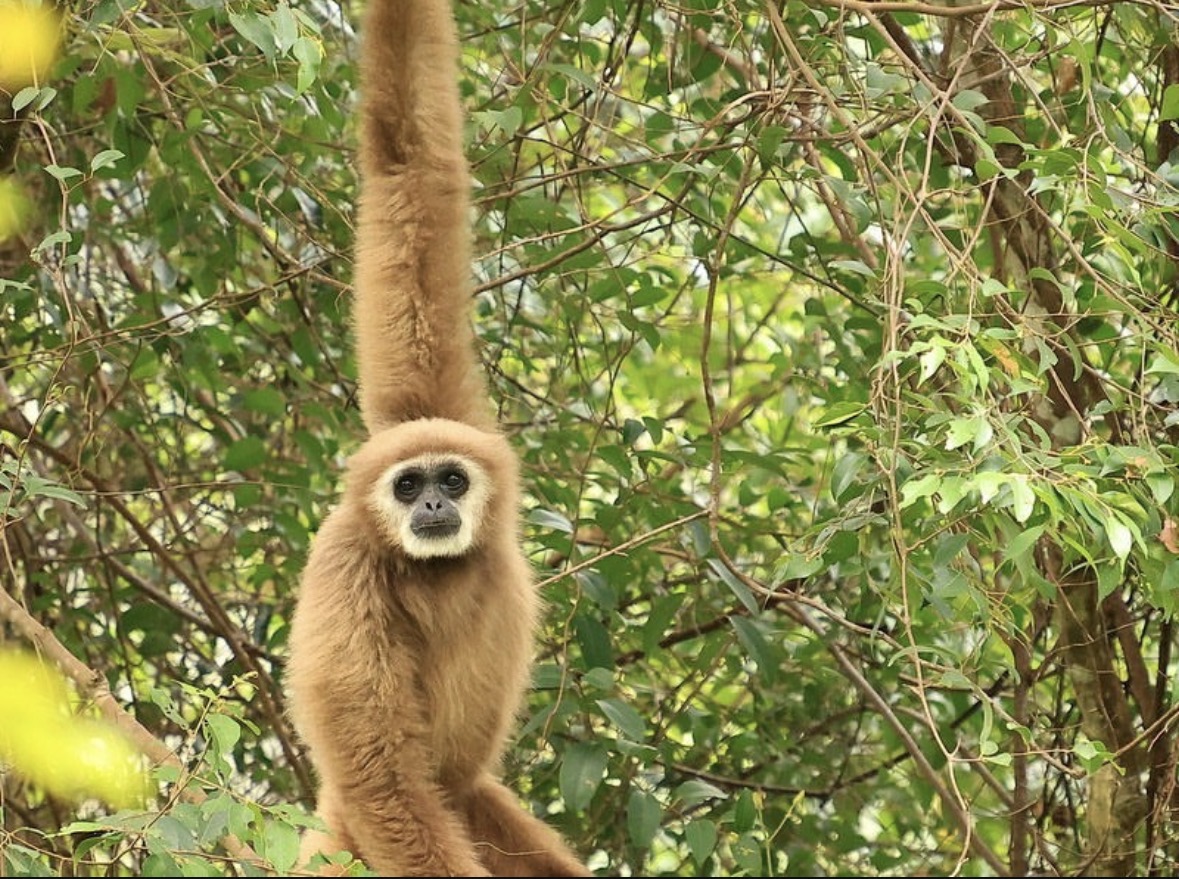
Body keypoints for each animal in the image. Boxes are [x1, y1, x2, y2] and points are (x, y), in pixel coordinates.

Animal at [283, 0, 592, 876]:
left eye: (450, 479)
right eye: (406, 484)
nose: (428, 506)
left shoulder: (444, 411)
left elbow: (410, 165)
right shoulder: (345, 560)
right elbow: (379, 770)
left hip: (469, 803)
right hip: (348, 831)